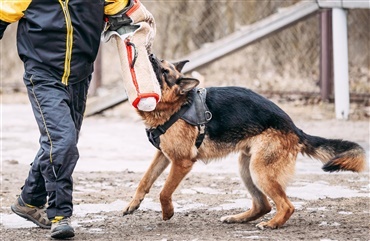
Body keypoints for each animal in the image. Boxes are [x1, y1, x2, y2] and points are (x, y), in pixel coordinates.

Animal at [122, 54, 368, 230]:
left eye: (164, 71)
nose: (150, 54)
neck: (176, 105)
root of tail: (294, 128)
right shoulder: (163, 155)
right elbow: (145, 181)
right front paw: (133, 204)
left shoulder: (182, 163)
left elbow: (164, 191)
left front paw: (167, 212)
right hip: (246, 168)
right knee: (263, 205)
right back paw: (238, 218)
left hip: (260, 170)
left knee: (286, 206)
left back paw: (272, 224)